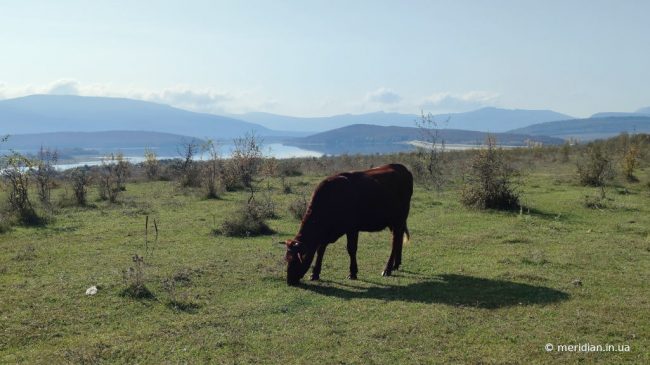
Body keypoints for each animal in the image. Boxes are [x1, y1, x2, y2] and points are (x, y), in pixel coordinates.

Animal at [280, 162, 412, 284]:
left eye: (296, 260)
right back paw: (396, 264)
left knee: (395, 241)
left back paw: (387, 269)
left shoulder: (352, 229)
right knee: (398, 239)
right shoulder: (325, 234)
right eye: (286, 259)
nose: (289, 280)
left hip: (399, 219)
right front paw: (315, 273)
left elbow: (351, 249)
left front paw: (352, 272)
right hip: (395, 223)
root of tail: (401, 167)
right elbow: (320, 250)